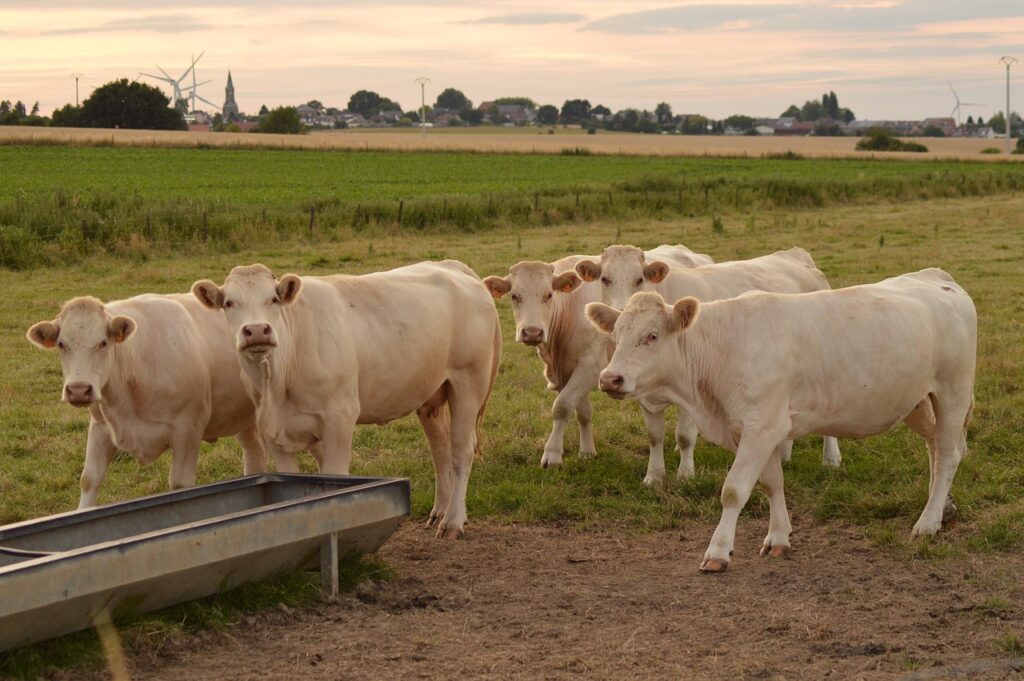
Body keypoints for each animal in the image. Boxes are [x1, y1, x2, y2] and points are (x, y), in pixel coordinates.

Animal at [28, 294, 268, 507]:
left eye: (103, 343)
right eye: (61, 344)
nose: (78, 390)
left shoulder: (187, 428)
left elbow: (180, 483)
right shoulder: (100, 426)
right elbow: (89, 479)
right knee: (254, 453)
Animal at [190, 260, 501, 536]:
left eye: (274, 299)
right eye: (229, 303)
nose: (256, 330)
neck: (277, 383)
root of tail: (452, 266)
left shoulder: (339, 418)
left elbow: (335, 476)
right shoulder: (272, 433)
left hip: (468, 382)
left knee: (461, 449)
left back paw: (453, 521)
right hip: (430, 394)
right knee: (440, 450)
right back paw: (440, 511)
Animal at [481, 245, 712, 473]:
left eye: (549, 295)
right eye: (514, 296)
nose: (531, 332)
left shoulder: (589, 365)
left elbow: (562, 406)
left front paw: (552, 455)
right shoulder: (570, 370)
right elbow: (582, 412)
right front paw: (586, 451)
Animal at [573, 244, 843, 483]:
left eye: (639, 279)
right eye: (605, 279)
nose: (619, 309)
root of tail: (794, 256)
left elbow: (684, 437)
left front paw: (685, 475)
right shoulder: (644, 393)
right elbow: (654, 437)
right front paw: (653, 476)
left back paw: (830, 458)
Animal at [585, 268, 974, 569]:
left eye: (651, 336)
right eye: (616, 335)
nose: (610, 378)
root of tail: (937, 277)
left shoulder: (762, 427)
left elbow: (734, 490)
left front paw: (718, 551)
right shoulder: (757, 430)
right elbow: (772, 484)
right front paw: (778, 537)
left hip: (953, 392)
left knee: (949, 453)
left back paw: (927, 523)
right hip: (916, 401)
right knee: (936, 448)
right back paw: (942, 509)